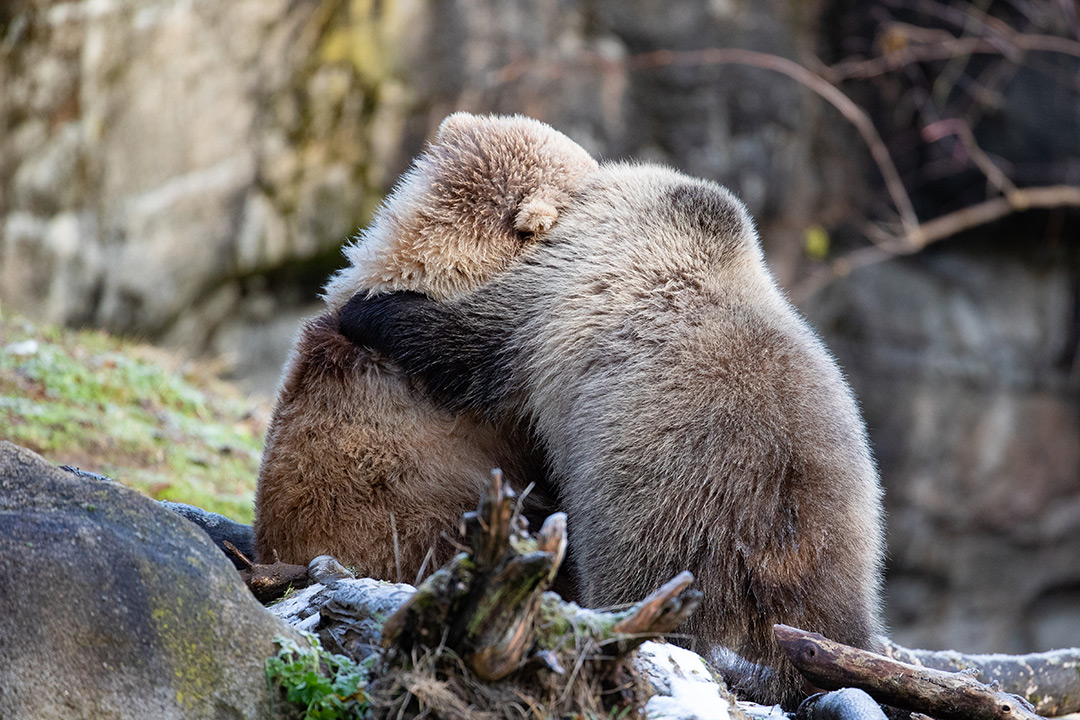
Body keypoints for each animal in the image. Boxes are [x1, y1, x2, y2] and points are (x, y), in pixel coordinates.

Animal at [337, 163, 887, 708]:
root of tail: (772, 534)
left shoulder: (554, 298)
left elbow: (464, 346)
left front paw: (367, 309)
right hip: (839, 532)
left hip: (661, 512)